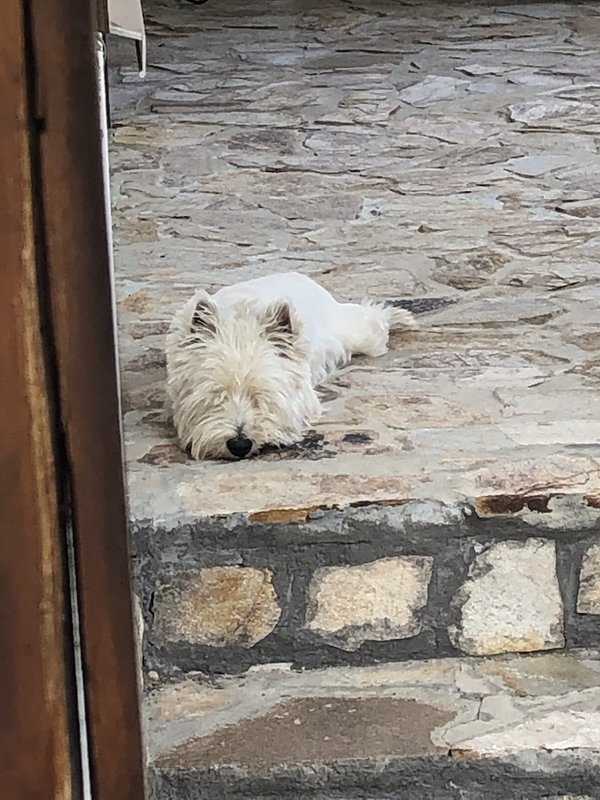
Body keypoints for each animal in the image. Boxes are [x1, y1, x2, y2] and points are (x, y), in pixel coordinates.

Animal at [165, 272, 416, 460]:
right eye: (217, 396)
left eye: (262, 396)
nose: (240, 445)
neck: (242, 319)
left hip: (358, 334)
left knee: (374, 317)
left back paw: (403, 317)